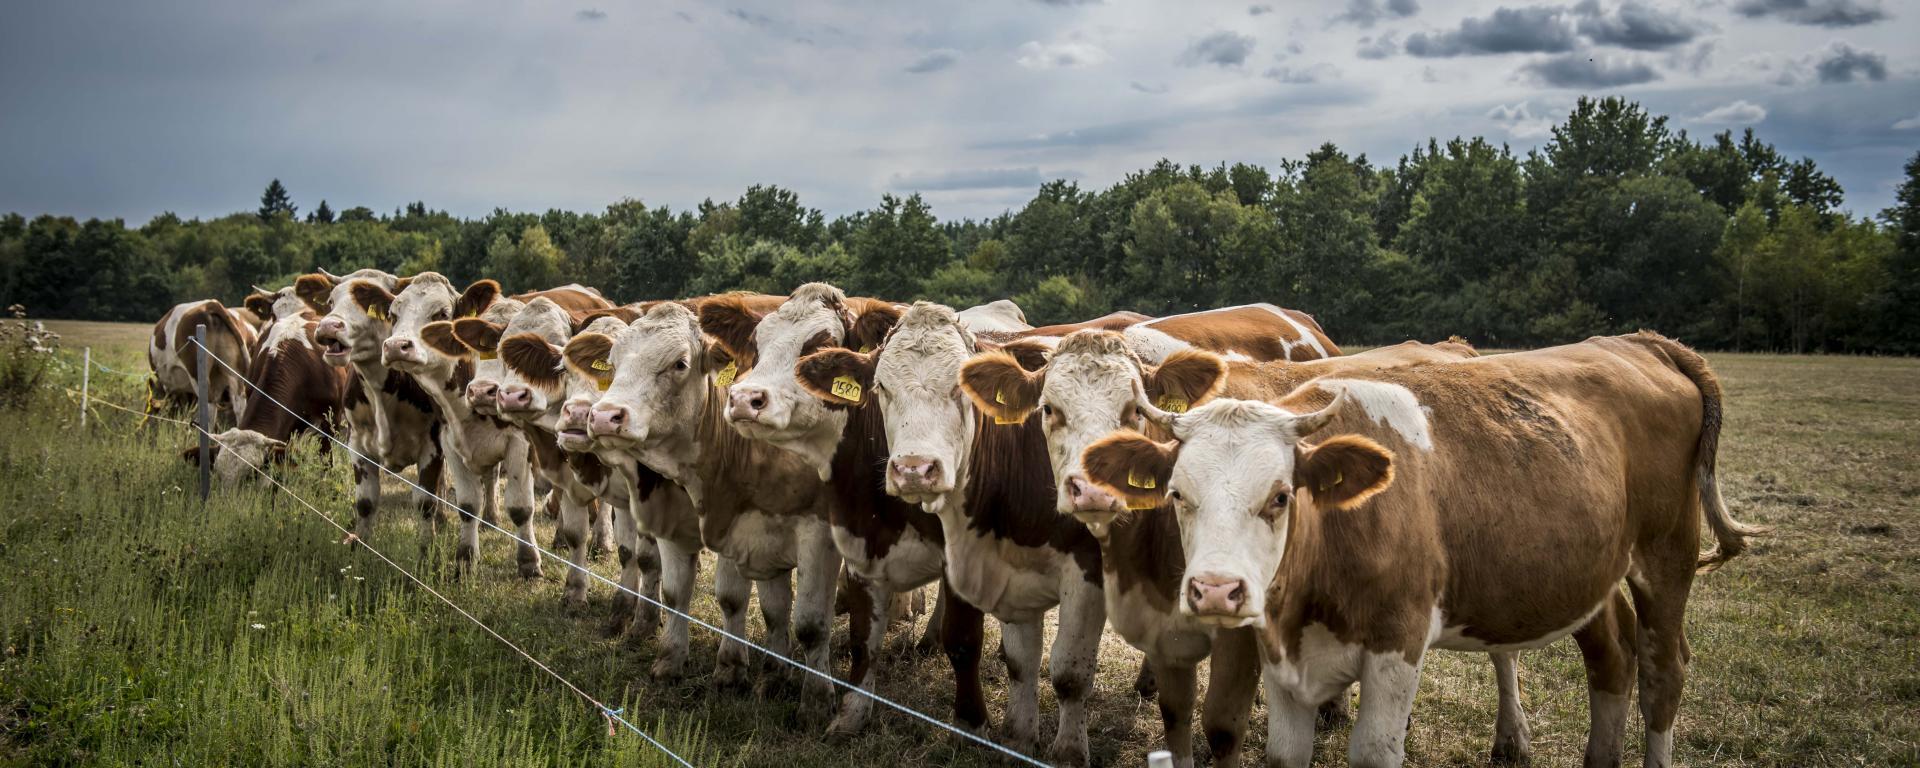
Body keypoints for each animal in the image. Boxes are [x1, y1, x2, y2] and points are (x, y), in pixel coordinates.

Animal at [293, 268, 447, 545]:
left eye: (369, 302)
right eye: (330, 301)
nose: (328, 326)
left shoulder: (433, 446)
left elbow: (425, 503)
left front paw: (427, 548)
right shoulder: (358, 444)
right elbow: (365, 503)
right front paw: (360, 546)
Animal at [1075, 332, 1758, 768]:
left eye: (1280, 496)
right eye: (1177, 494)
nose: (1216, 590)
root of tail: (1642, 341)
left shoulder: (1396, 643)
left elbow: (1373, 751)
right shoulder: (1282, 657)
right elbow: (1284, 753)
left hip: (1666, 556)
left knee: (1663, 672)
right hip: (1585, 571)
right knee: (1613, 657)